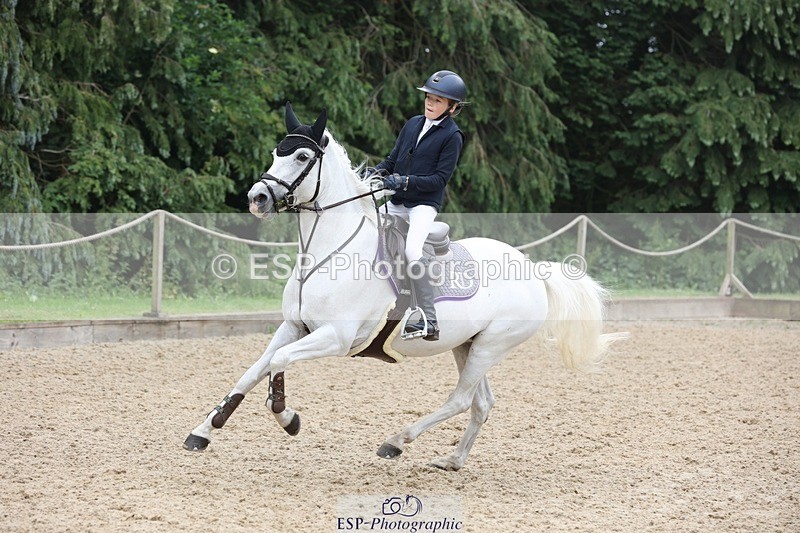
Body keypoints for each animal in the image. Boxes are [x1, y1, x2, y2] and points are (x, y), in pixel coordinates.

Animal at [183, 103, 627, 470]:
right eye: (278, 152)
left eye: (302, 157)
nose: (257, 198)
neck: (327, 252)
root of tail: (533, 270)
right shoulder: (294, 327)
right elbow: (252, 370)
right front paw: (205, 430)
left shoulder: (335, 337)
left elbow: (278, 363)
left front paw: (288, 418)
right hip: (468, 344)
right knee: (481, 403)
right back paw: (452, 461)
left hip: (492, 345)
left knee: (460, 399)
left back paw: (396, 442)